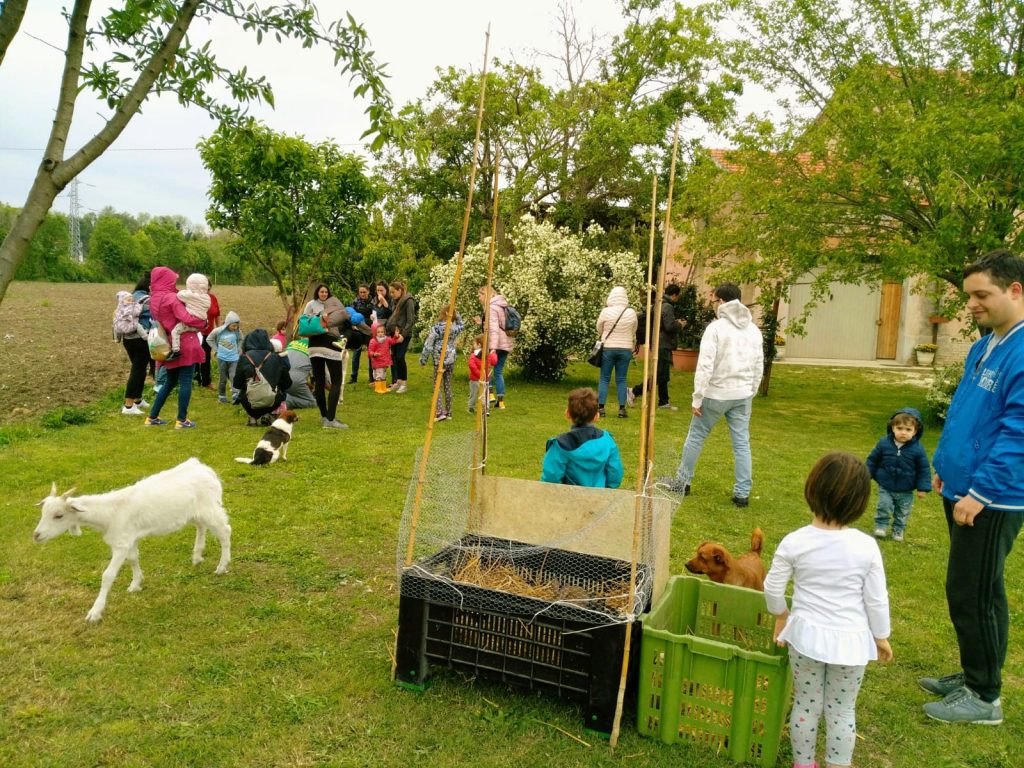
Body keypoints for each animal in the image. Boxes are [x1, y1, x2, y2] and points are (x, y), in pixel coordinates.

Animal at [33, 460, 232, 622]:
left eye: (59, 515)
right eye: (43, 512)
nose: (36, 535)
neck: (110, 513)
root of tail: (204, 469)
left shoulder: (121, 543)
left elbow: (108, 575)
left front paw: (94, 613)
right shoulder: (130, 537)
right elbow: (134, 559)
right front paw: (136, 584)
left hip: (210, 508)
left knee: (225, 531)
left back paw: (222, 566)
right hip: (195, 512)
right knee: (201, 526)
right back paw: (197, 557)